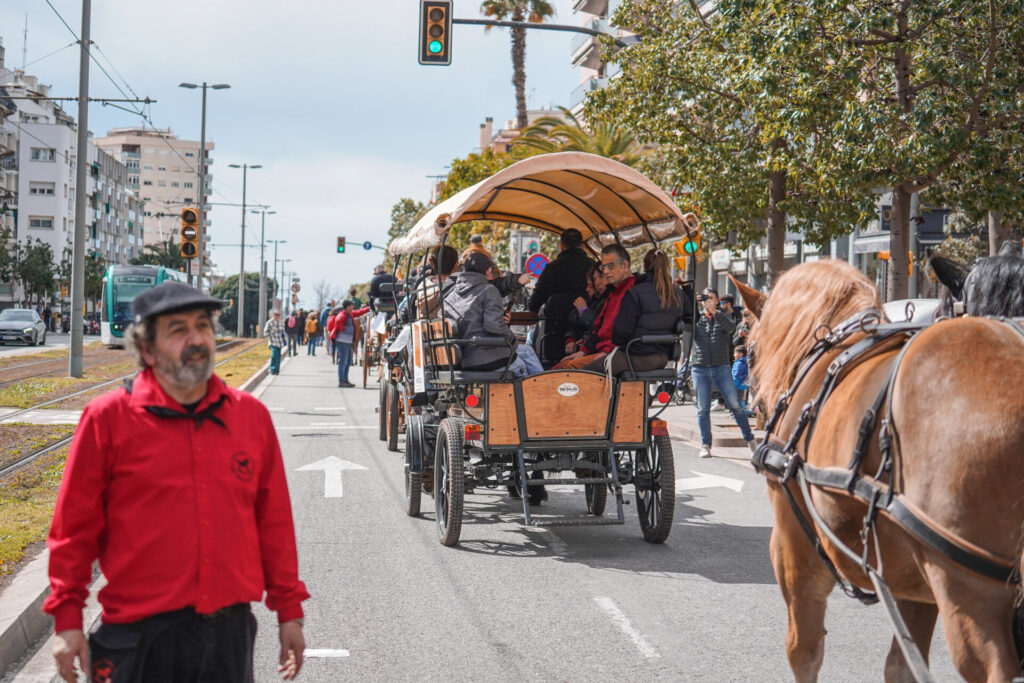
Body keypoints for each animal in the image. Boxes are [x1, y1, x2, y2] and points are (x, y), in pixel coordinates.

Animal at [745, 259, 1024, 679]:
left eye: (748, 349)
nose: (754, 408)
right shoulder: (913, 582)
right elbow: (900, 666)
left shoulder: (794, 548)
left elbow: (804, 652)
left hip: (970, 594)